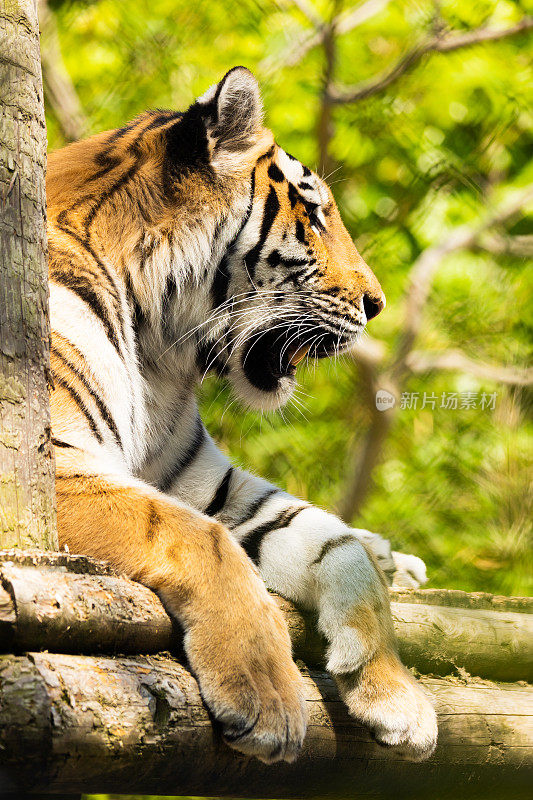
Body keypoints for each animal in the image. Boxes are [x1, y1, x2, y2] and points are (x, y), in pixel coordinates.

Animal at [46, 67, 436, 764]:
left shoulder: (205, 481)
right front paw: (267, 699)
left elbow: (333, 545)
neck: (160, 351)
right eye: (313, 215)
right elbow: (201, 538)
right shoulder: (59, 468)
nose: (377, 304)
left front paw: (398, 698)